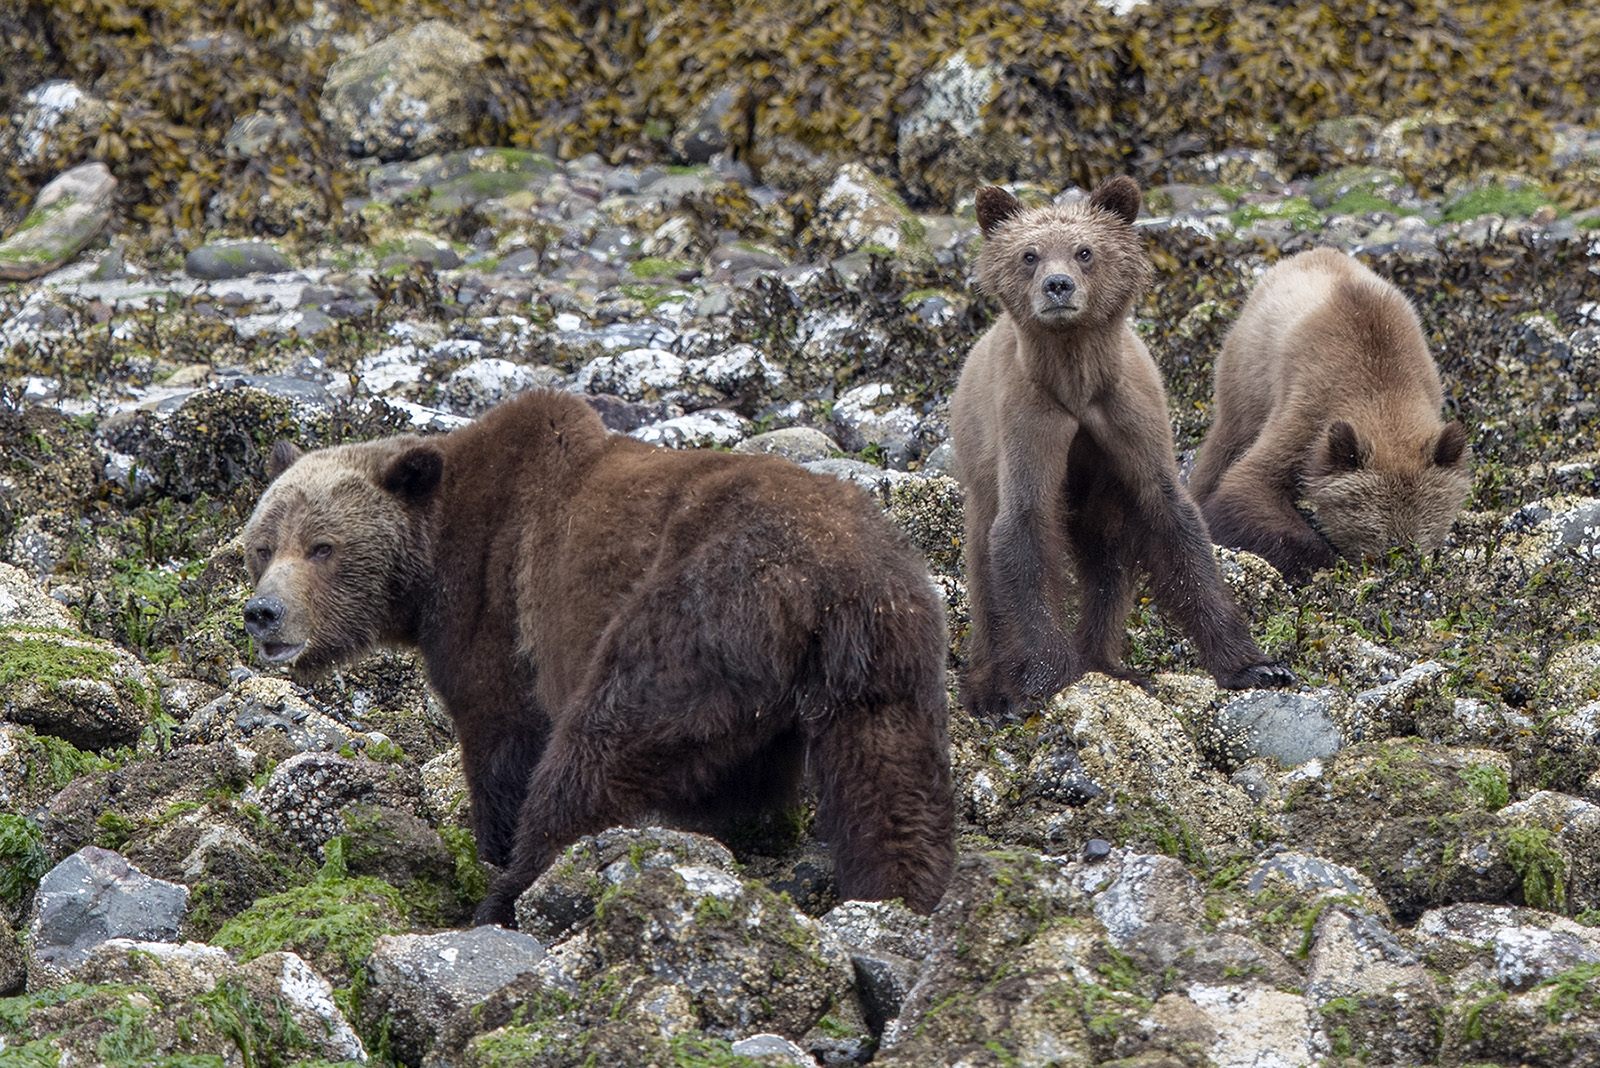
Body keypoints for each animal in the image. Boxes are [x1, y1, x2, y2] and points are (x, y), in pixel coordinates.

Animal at [240, 388, 947, 920]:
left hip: (696, 607)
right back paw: (899, 897)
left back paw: (513, 893)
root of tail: (825, 579)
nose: (262, 612)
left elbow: (504, 737)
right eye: (262, 545)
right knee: (890, 784)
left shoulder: (494, 609)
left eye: (322, 547)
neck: (431, 560)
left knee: (599, 745)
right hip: (886, 652)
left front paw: (493, 850)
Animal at [947, 179, 1286, 722]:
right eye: (1029, 254)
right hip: (980, 460)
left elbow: (1173, 522)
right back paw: (990, 688)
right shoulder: (1029, 420)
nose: (1057, 285)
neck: (1077, 380)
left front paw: (1254, 665)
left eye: (1085, 251)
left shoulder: (1128, 414)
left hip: (1100, 495)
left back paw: (1108, 662)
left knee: (1107, 560)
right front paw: (1050, 676)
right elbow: (1024, 529)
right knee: (984, 564)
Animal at [1190, 247, 1472, 578]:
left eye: (1422, 536)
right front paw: (1322, 559)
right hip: (1247, 377)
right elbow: (1249, 484)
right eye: (1372, 531)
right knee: (1225, 445)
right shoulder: (1309, 414)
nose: (1399, 561)